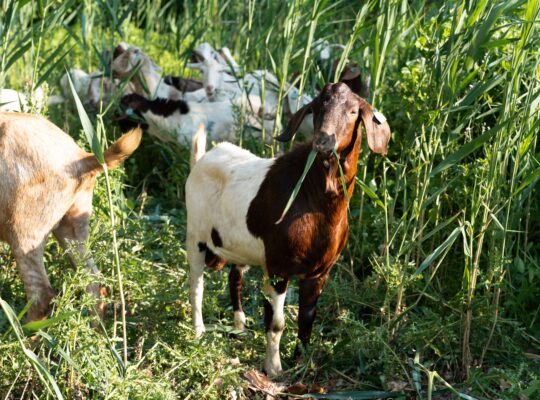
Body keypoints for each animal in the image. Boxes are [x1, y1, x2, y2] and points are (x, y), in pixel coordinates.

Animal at [186, 83, 388, 376]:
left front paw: (301, 362)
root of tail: (201, 159)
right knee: (196, 286)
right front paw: (274, 368)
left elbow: (307, 319)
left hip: (239, 247)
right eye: (318, 106)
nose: (323, 141)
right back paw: (199, 332)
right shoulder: (279, 268)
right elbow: (276, 322)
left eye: (353, 111)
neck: (312, 198)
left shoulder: (319, 272)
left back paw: (240, 328)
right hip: (195, 237)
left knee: (235, 278)